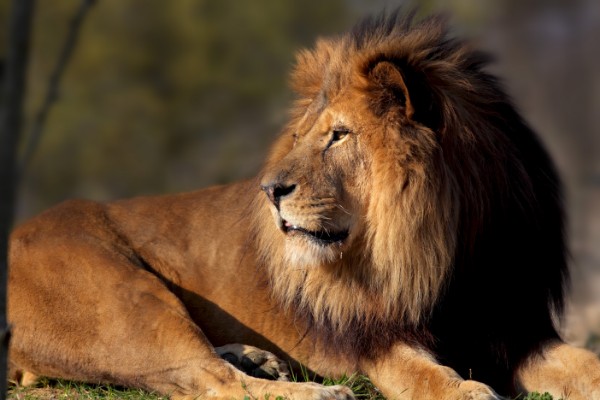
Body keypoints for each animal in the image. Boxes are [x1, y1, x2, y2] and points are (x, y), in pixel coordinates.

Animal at [7, 8, 600, 400]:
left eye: (339, 135)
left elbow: (586, 363)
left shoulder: (516, 327)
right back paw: (321, 393)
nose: (269, 190)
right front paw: (470, 390)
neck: (452, 247)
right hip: (125, 302)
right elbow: (428, 376)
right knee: (208, 382)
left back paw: (256, 357)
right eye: (300, 137)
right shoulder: (372, 341)